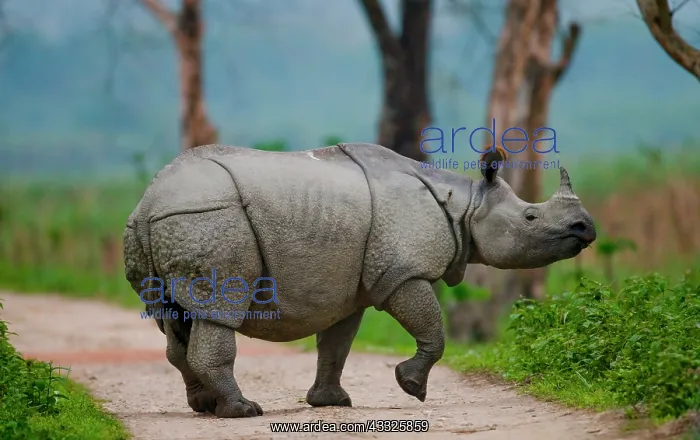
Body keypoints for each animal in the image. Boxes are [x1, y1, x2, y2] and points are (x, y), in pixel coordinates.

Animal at [123, 142, 596, 418]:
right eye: (531, 217)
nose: (585, 229)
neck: (466, 204)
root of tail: (148, 203)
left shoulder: (348, 287)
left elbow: (337, 345)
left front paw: (331, 403)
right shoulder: (402, 271)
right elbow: (433, 329)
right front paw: (411, 387)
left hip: (172, 225)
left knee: (175, 318)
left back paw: (204, 406)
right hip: (208, 217)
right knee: (218, 308)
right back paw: (243, 411)